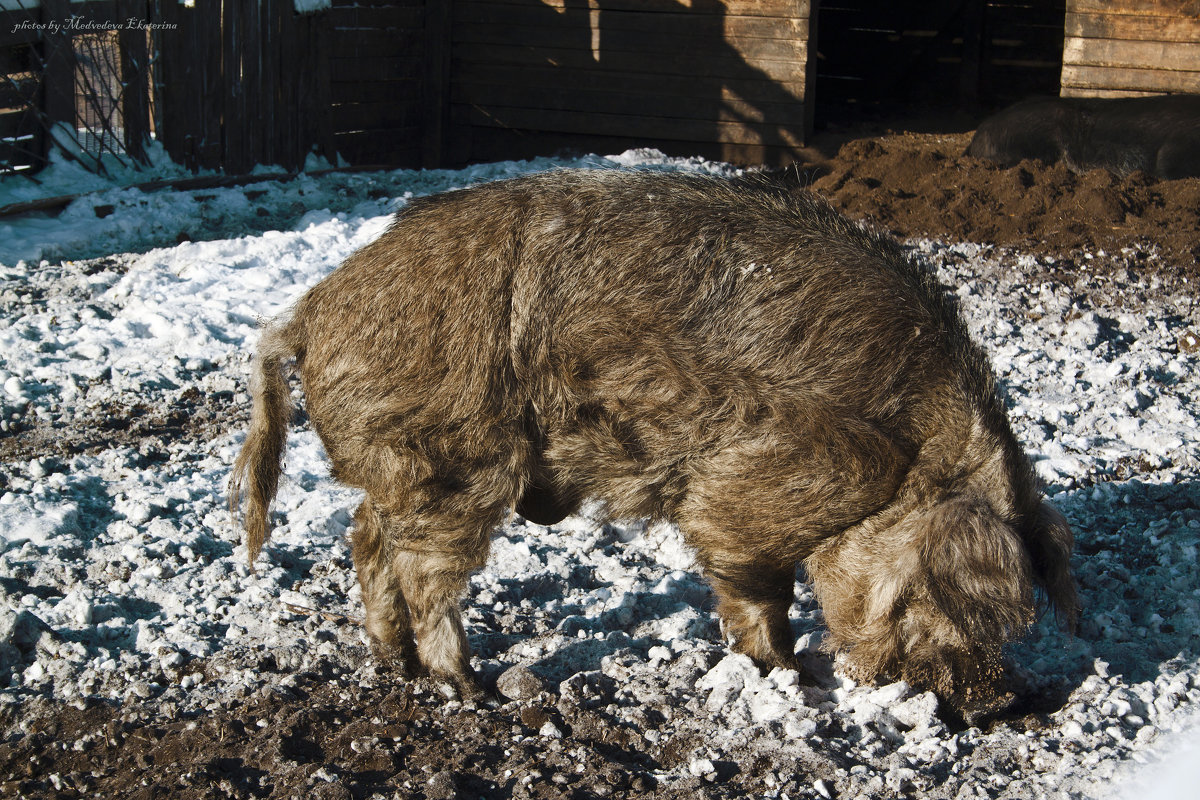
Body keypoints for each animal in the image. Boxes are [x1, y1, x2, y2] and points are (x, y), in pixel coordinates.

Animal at [226, 170, 1080, 724]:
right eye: (943, 591)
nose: (1001, 701)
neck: (905, 455)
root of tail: (307, 313)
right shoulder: (758, 488)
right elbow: (757, 588)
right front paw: (787, 673)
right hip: (453, 459)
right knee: (422, 570)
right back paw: (469, 687)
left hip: (405, 466)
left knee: (366, 536)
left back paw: (396, 664)